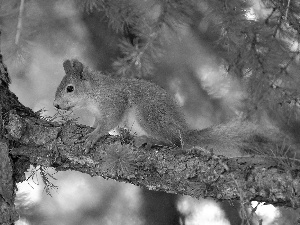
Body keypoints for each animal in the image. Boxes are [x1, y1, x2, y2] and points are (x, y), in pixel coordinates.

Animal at [53, 59, 296, 158]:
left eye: (70, 89)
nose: (55, 104)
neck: (94, 94)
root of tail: (183, 130)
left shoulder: (114, 101)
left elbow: (109, 122)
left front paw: (93, 136)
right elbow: (100, 122)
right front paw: (91, 128)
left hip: (148, 114)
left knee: (174, 142)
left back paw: (151, 140)